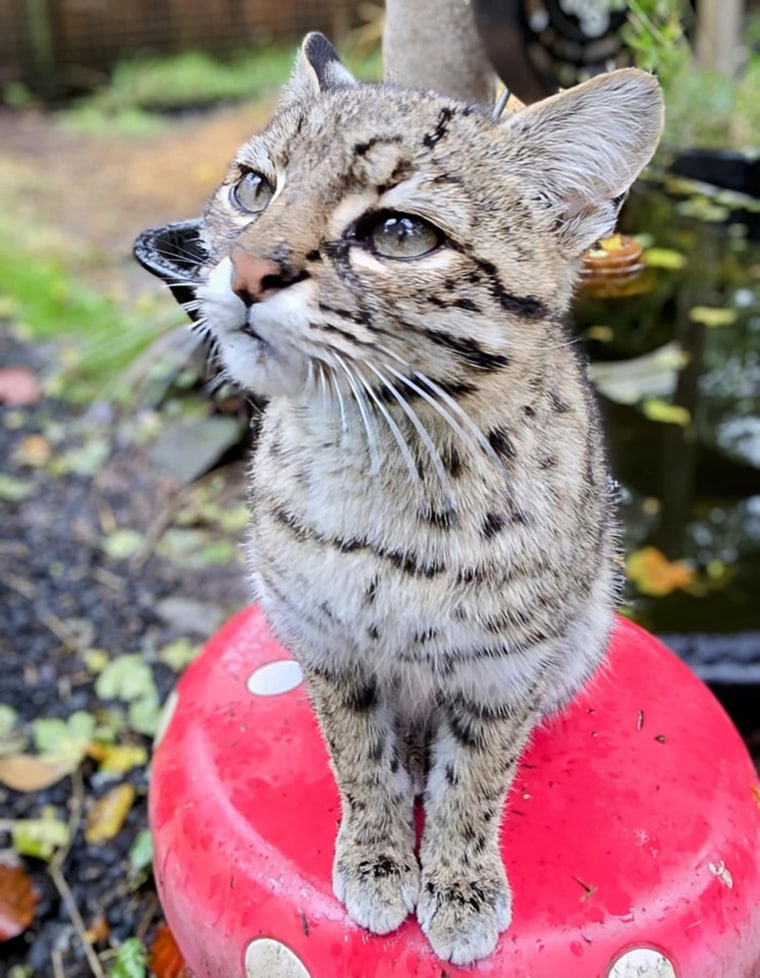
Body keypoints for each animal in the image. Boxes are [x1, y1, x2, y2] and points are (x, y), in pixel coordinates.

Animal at [191, 34, 664, 964]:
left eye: (399, 232)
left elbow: (476, 778)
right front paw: (378, 859)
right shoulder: (323, 640)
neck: (387, 451)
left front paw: (459, 881)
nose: (244, 268)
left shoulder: (506, 668)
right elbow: (357, 758)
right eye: (254, 189)